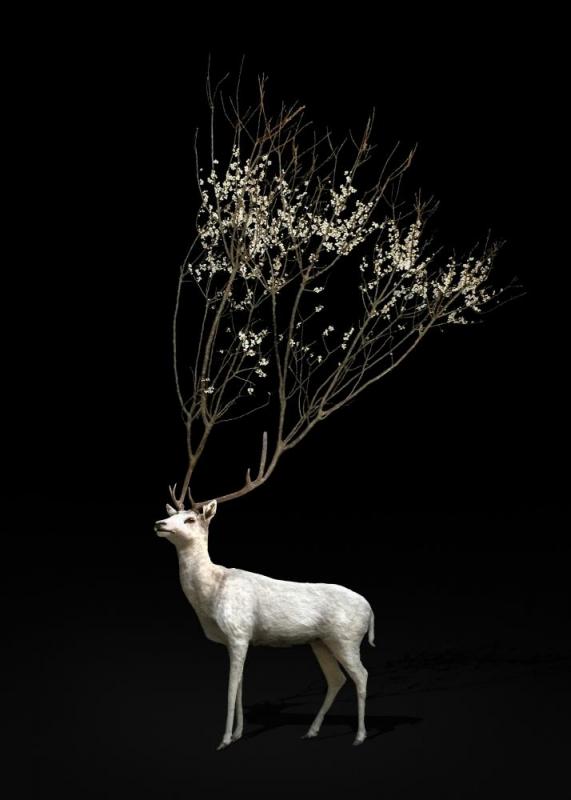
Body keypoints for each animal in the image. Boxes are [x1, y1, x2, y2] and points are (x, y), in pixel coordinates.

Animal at [154, 494, 375, 750]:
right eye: (171, 515)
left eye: (190, 519)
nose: (159, 524)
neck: (211, 594)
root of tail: (370, 610)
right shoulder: (235, 641)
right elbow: (240, 686)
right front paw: (238, 734)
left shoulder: (239, 634)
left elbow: (231, 687)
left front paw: (224, 740)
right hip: (321, 642)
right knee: (337, 679)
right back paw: (311, 731)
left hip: (346, 640)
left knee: (361, 675)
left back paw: (359, 736)